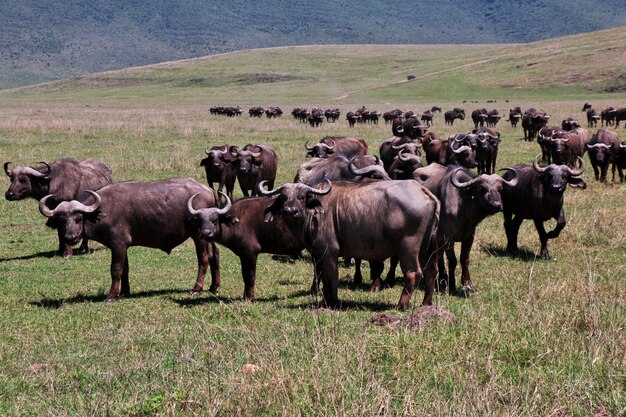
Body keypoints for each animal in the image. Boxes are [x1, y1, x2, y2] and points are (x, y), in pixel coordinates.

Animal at [37, 178, 222, 300]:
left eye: (78, 218)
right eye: (61, 220)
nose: (70, 237)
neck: (103, 211)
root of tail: (207, 190)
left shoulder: (117, 244)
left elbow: (115, 269)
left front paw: (111, 295)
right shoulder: (123, 247)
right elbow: (125, 269)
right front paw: (124, 292)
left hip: (198, 237)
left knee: (204, 259)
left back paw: (196, 289)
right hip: (208, 236)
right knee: (215, 254)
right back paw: (214, 286)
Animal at [258, 179, 438, 308]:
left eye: (301, 197)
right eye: (283, 198)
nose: (290, 211)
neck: (314, 215)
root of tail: (421, 189)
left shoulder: (329, 253)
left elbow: (331, 277)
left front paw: (331, 302)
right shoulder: (318, 255)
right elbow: (322, 276)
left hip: (408, 247)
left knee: (413, 273)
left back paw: (400, 305)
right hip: (427, 247)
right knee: (430, 271)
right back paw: (426, 303)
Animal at [410, 162, 516, 292]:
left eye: (500, 189)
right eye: (482, 188)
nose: (496, 205)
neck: (462, 210)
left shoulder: (470, 235)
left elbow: (464, 258)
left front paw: (467, 282)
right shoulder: (448, 237)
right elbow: (452, 260)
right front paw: (452, 284)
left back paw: (442, 278)